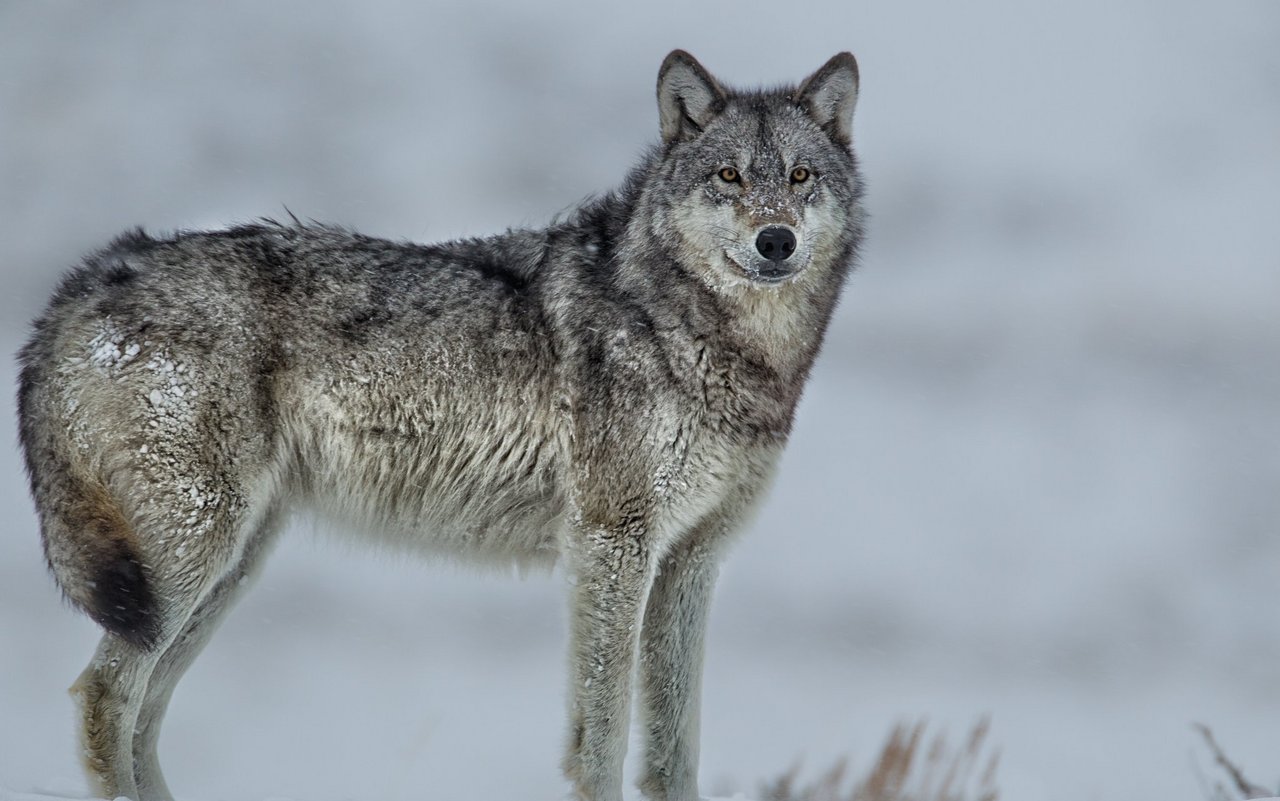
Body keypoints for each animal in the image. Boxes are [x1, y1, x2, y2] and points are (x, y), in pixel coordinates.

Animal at [15, 48, 865, 798]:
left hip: (229, 568)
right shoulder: (611, 543)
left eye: (800, 176)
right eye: (729, 176)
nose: (776, 240)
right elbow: (603, 733)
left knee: (146, 711)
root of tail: (87, 279)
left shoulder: (692, 560)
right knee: (105, 697)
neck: (701, 337)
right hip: (186, 561)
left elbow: (676, 742)